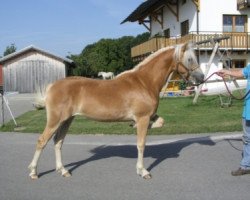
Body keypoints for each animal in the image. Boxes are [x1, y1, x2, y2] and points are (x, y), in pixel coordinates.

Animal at [28, 42, 204, 180]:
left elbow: (160, 122)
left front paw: (134, 126)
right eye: (190, 59)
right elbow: (141, 144)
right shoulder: (143, 117)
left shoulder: (149, 116)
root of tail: (52, 86)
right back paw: (33, 172)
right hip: (55, 120)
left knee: (58, 142)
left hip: (67, 120)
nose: (201, 78)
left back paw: (63, 170)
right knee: (42, 141)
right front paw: (143, 171)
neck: (144, 82)